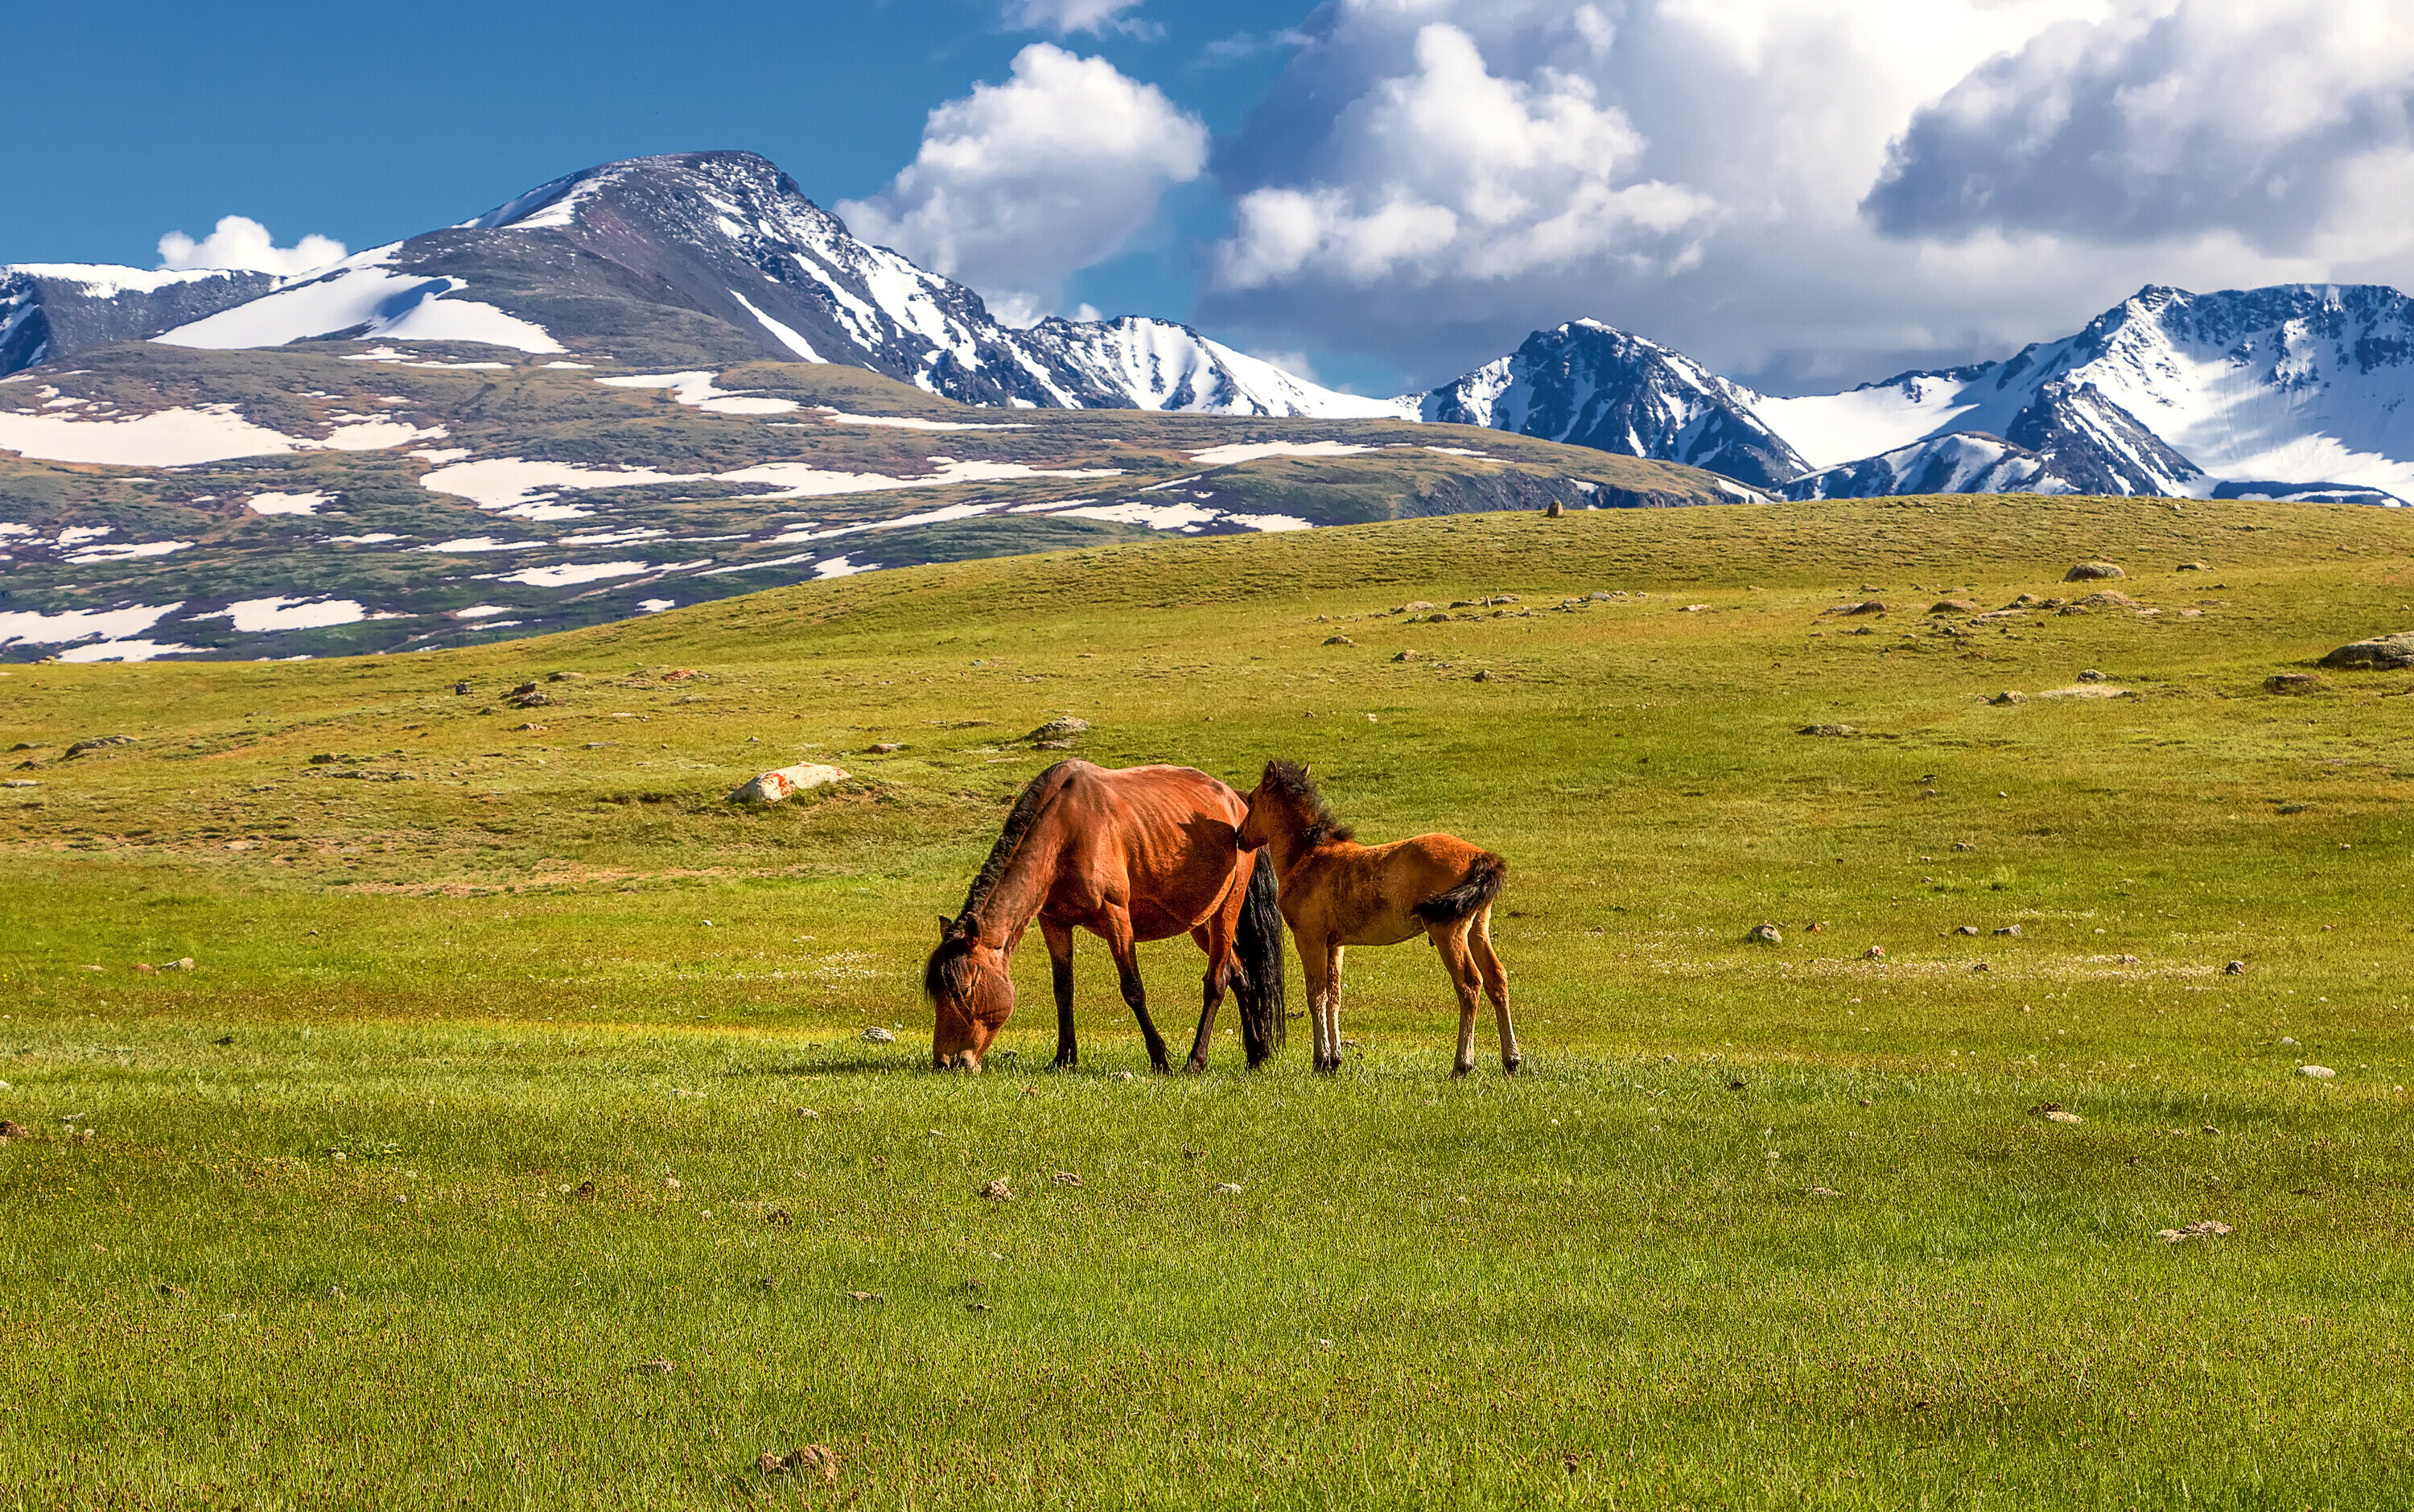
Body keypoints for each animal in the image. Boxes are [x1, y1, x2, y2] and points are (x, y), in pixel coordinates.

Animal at [917, 758, 1284, 1067]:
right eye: (937, 993)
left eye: (965, 989)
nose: (947, 1062)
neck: (1063, 831)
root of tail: (1237, 803)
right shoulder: (1054, 922)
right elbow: (1063, 990)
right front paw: (1064, 1059)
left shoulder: (1116, 916)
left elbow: (1133, 988)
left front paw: (1159, 1058)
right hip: (1200, 921)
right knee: (1241, 975)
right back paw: (1256, 1055)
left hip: (1227, 910)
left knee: (1218, 981)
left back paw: (1196, 1060)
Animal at [1236, 753, 1516, 1072]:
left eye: (1252, 800)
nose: (1239, 836)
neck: (1308, 857)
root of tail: (1481, 856)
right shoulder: (1335, 944)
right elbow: (1334, 995)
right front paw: (1335, 1059)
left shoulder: (1310, 940)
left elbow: (1316, 994)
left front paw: (1320, 1059)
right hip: (1477, 928)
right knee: (1496, 978)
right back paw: (1511, 1059)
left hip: (1449, 932)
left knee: (1469, 985)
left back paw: (1463, 1064)